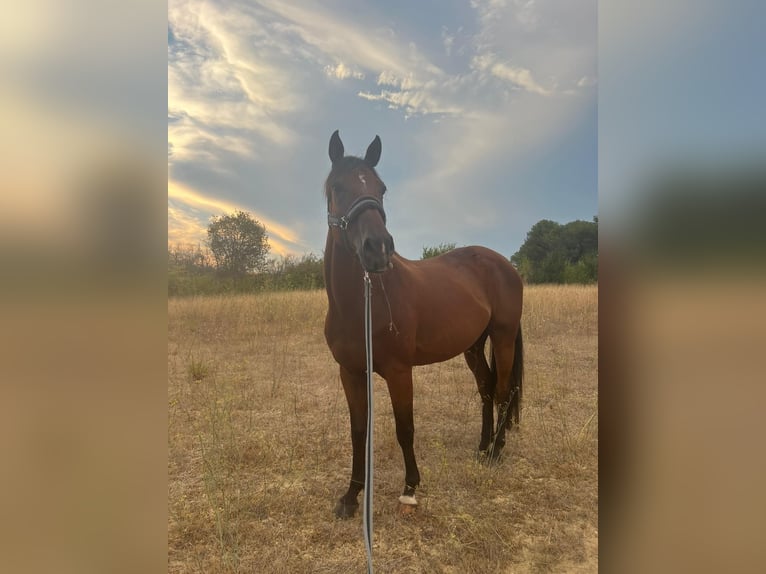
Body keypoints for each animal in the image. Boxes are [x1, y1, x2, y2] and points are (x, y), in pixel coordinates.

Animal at [323, 130, 524, 518]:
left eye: (382, 188)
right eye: (336, 187)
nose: (378, 248)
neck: (357, 305)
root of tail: (505, 264)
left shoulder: (399, 371)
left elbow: (405, 428)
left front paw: (410, 488)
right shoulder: (350, 372)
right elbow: (358, 431)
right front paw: (351, 496)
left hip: (503, 337)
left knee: (504, 391)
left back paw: (496, 451)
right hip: (473, 346)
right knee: (487, 388)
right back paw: (482, 447)